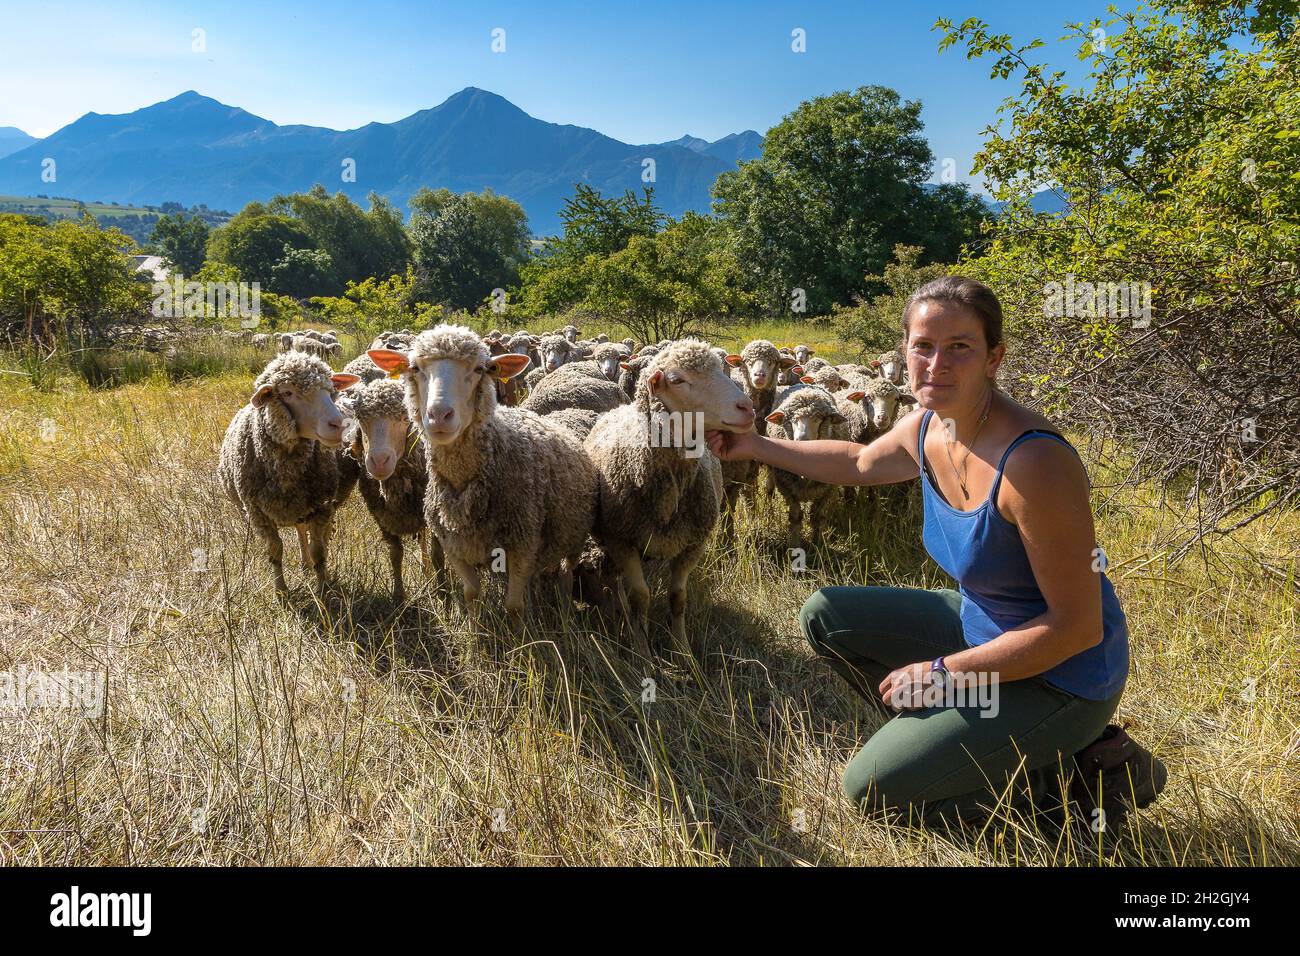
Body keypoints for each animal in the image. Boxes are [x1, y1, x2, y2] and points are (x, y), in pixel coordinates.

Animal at [340, 377, 441, 600]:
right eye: (360, 418)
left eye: (404, 417)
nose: (378, 462)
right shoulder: (383, 518)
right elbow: (396, 555)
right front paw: (398, 595)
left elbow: (437, 553)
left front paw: (443, 590)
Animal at [366, 325, 598, 632]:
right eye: (414, 368)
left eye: (480, 369)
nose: (438, 415)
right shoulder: (455, 547)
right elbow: (471, 595)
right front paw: (476, 634)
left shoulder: (522, 545)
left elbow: (513, 606)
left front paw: (521, 641)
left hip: (575, 536)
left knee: (567, 573)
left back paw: (565, 611)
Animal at [585, 335, 759, 658]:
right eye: (677, 380)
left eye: (722, 369)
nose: (747, 408)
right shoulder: (622, 540)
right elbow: (640, 596)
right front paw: (641, 650)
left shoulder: (692, 545)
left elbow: (678, 597)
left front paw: (683, 651)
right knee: (617, 582)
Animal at [759, 385, 852, 548]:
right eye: (791, 419)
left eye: (819, 419)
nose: (801, 441)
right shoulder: (786, 487)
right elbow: (795, 517)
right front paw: (794, 544)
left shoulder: (827, 490)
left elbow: (817, 516)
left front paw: (817, 545)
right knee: (769, 487)